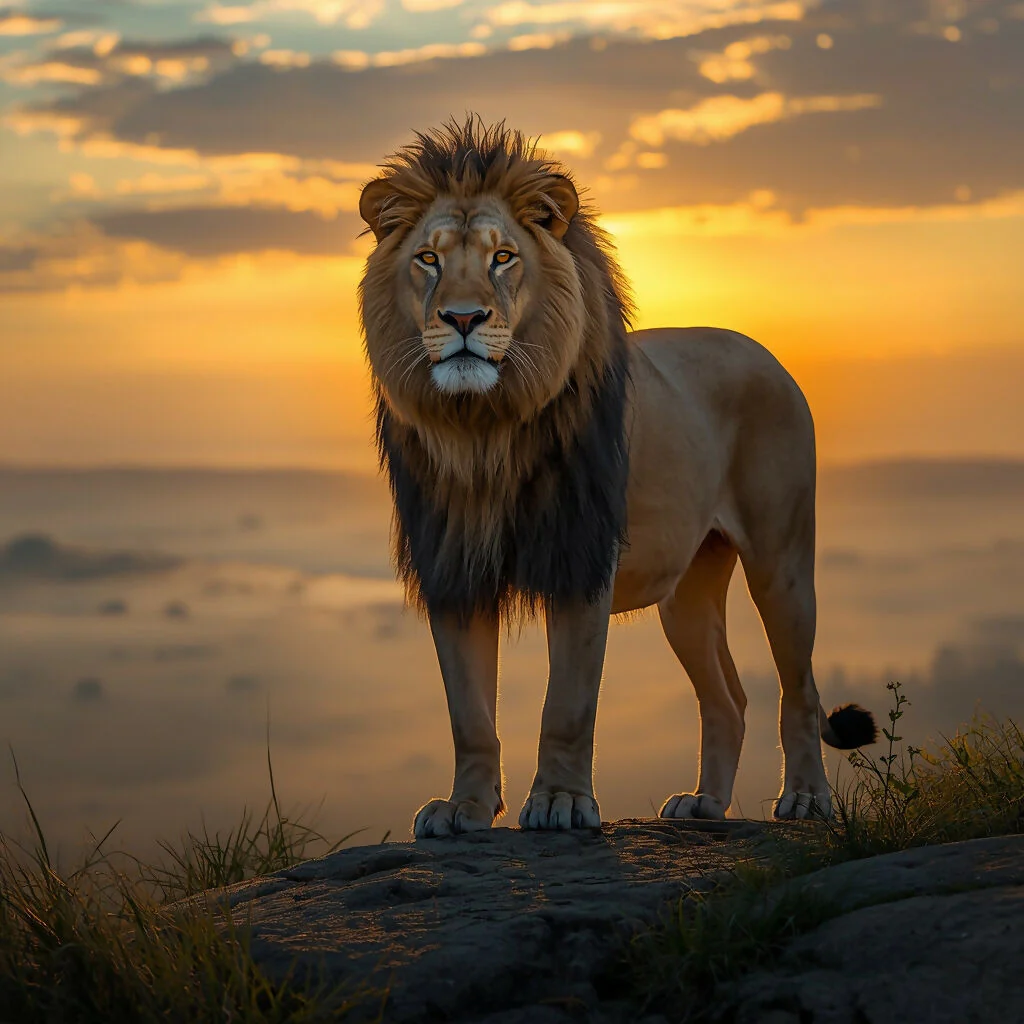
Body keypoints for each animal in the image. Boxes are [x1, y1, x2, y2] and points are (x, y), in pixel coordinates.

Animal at [358, 117, 876, 837]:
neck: (484, 427)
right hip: (687, 592)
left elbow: (568, 703)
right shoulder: (454, 569)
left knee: (798, 687)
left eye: (503, 257)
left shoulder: (580, 560)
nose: (463, 319)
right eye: (428, 260)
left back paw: (804, 799)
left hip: (783, 561)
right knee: (729, 697)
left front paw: (560, 803)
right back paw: (704, 804)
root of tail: (761, 350)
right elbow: (469, 712)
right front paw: (463, 808)